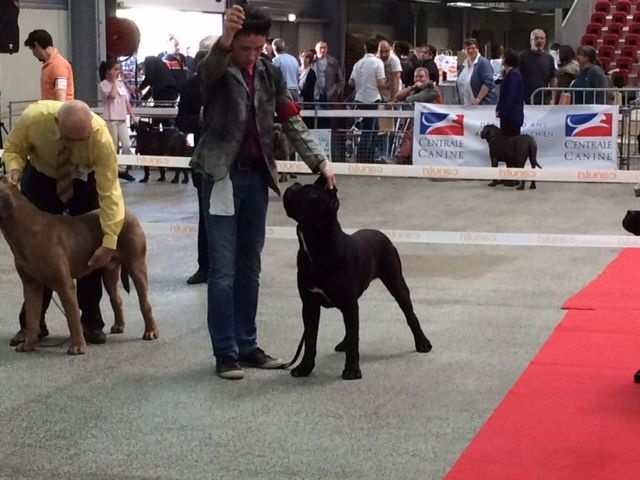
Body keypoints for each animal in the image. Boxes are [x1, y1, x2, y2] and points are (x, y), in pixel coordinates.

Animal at [0, 182, 159, 354]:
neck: (28, 230)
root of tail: (127, 213)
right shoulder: (31, 285)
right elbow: (32, 318)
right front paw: (28, 345)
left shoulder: (64, 285)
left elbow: (72, 317)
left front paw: (77, 346)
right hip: (109, 271)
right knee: (116, 297)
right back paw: (119, 325)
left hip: (136, 264)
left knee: (144, 302)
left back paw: (151, 331)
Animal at [282, 176, 432, 378]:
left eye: (311, 193)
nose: (295, 184)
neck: (315, 247)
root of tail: (380, 233)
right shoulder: (310, 304)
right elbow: (311, 339)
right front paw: (304, 367)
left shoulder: (348, 302)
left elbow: (354, 337)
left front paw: (352, 370)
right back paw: (343, 343)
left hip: (396, 283)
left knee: (410, 315)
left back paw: (422, 342)